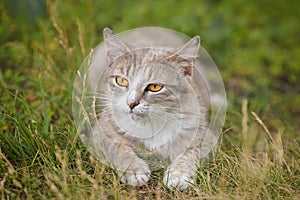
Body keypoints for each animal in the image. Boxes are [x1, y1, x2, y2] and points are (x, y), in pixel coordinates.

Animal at [89, 27, 216, 189]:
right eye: (121, 80)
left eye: (155, 87)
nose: (131, 103)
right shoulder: (99, 134)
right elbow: (118, 148)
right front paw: (133, 169)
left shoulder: (205, 137)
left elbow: (190, 153)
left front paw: (179, 173)